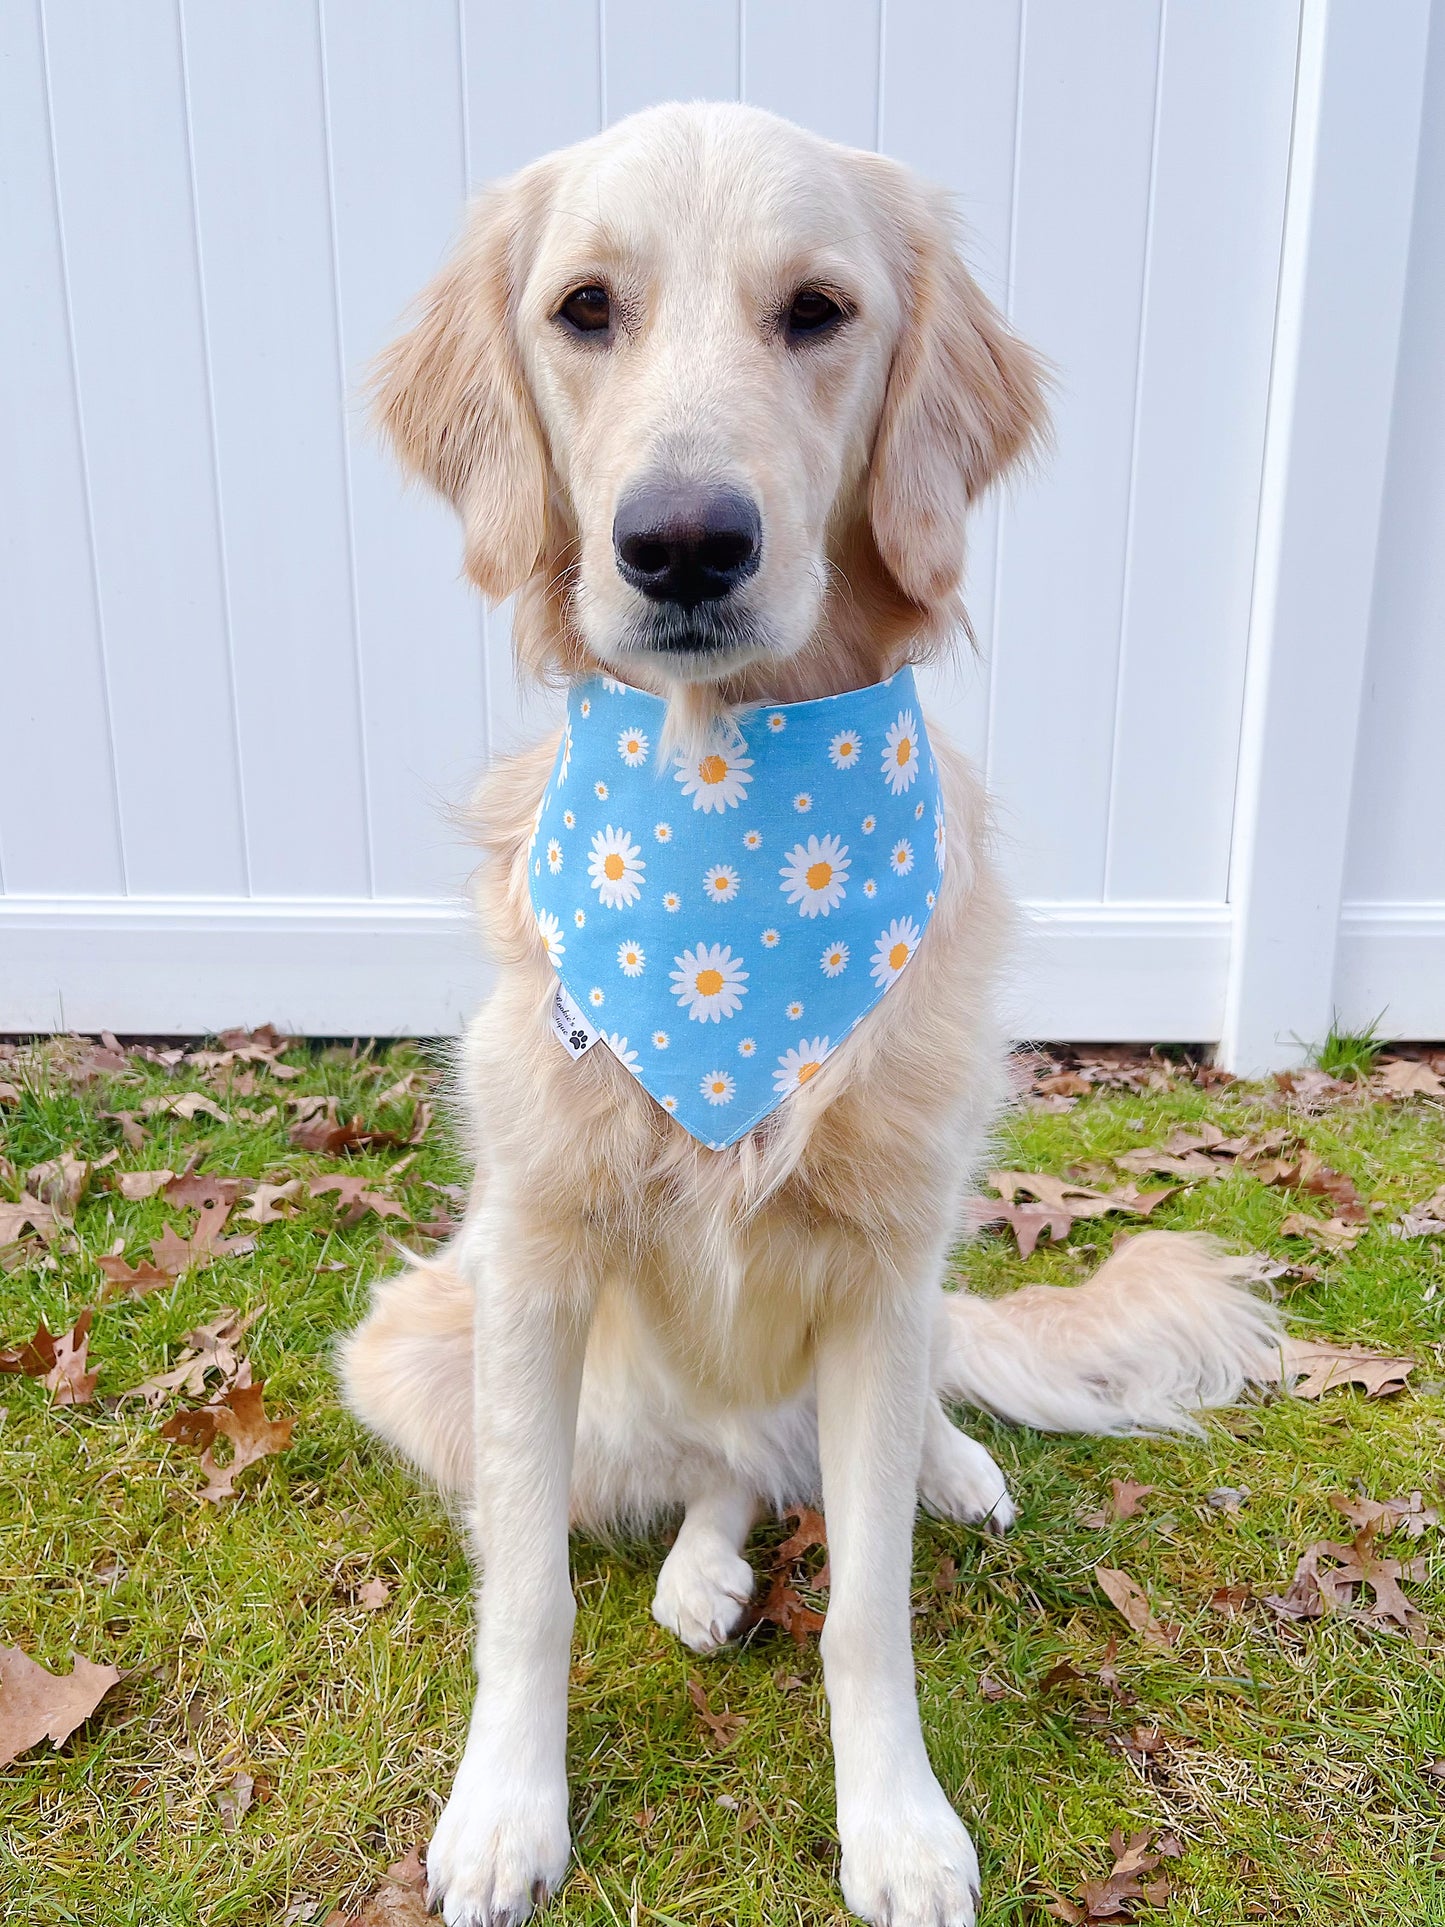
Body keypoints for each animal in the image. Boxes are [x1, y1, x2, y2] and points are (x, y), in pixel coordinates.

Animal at [342, 101, 1287, 1927]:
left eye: (818, 311)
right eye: (585, 308)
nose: (683, 541)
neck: (734, 811)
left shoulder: (882, 1259)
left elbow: (866, 1608)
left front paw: (896, 1824)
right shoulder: (533, 1261)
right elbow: (528, 1593)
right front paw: (506, 1809)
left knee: (858, 1433)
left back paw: (950, 1467)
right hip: (428, 1344)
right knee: (708, 1471)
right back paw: (703, 1569)